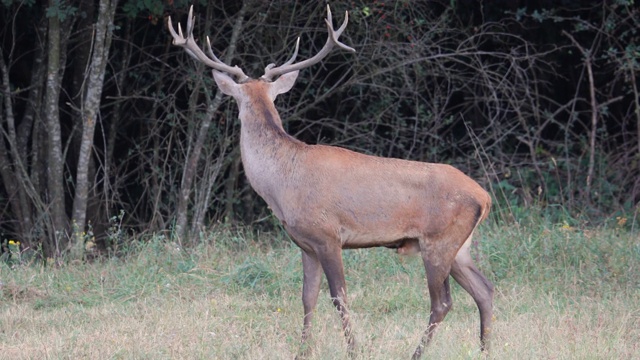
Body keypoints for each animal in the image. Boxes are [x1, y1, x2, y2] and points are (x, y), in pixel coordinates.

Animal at [168, 5, 492, 360]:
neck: (281, 185)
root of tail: (485, 196)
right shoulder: (305, 243)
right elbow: (307, 297)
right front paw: (302, 352)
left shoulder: (328, 235)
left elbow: (339, 298)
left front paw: (353, 350)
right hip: (460, 247)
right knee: (485, 290)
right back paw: (485, 349)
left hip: (438, 240)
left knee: (442, 302)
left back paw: (417, 353)